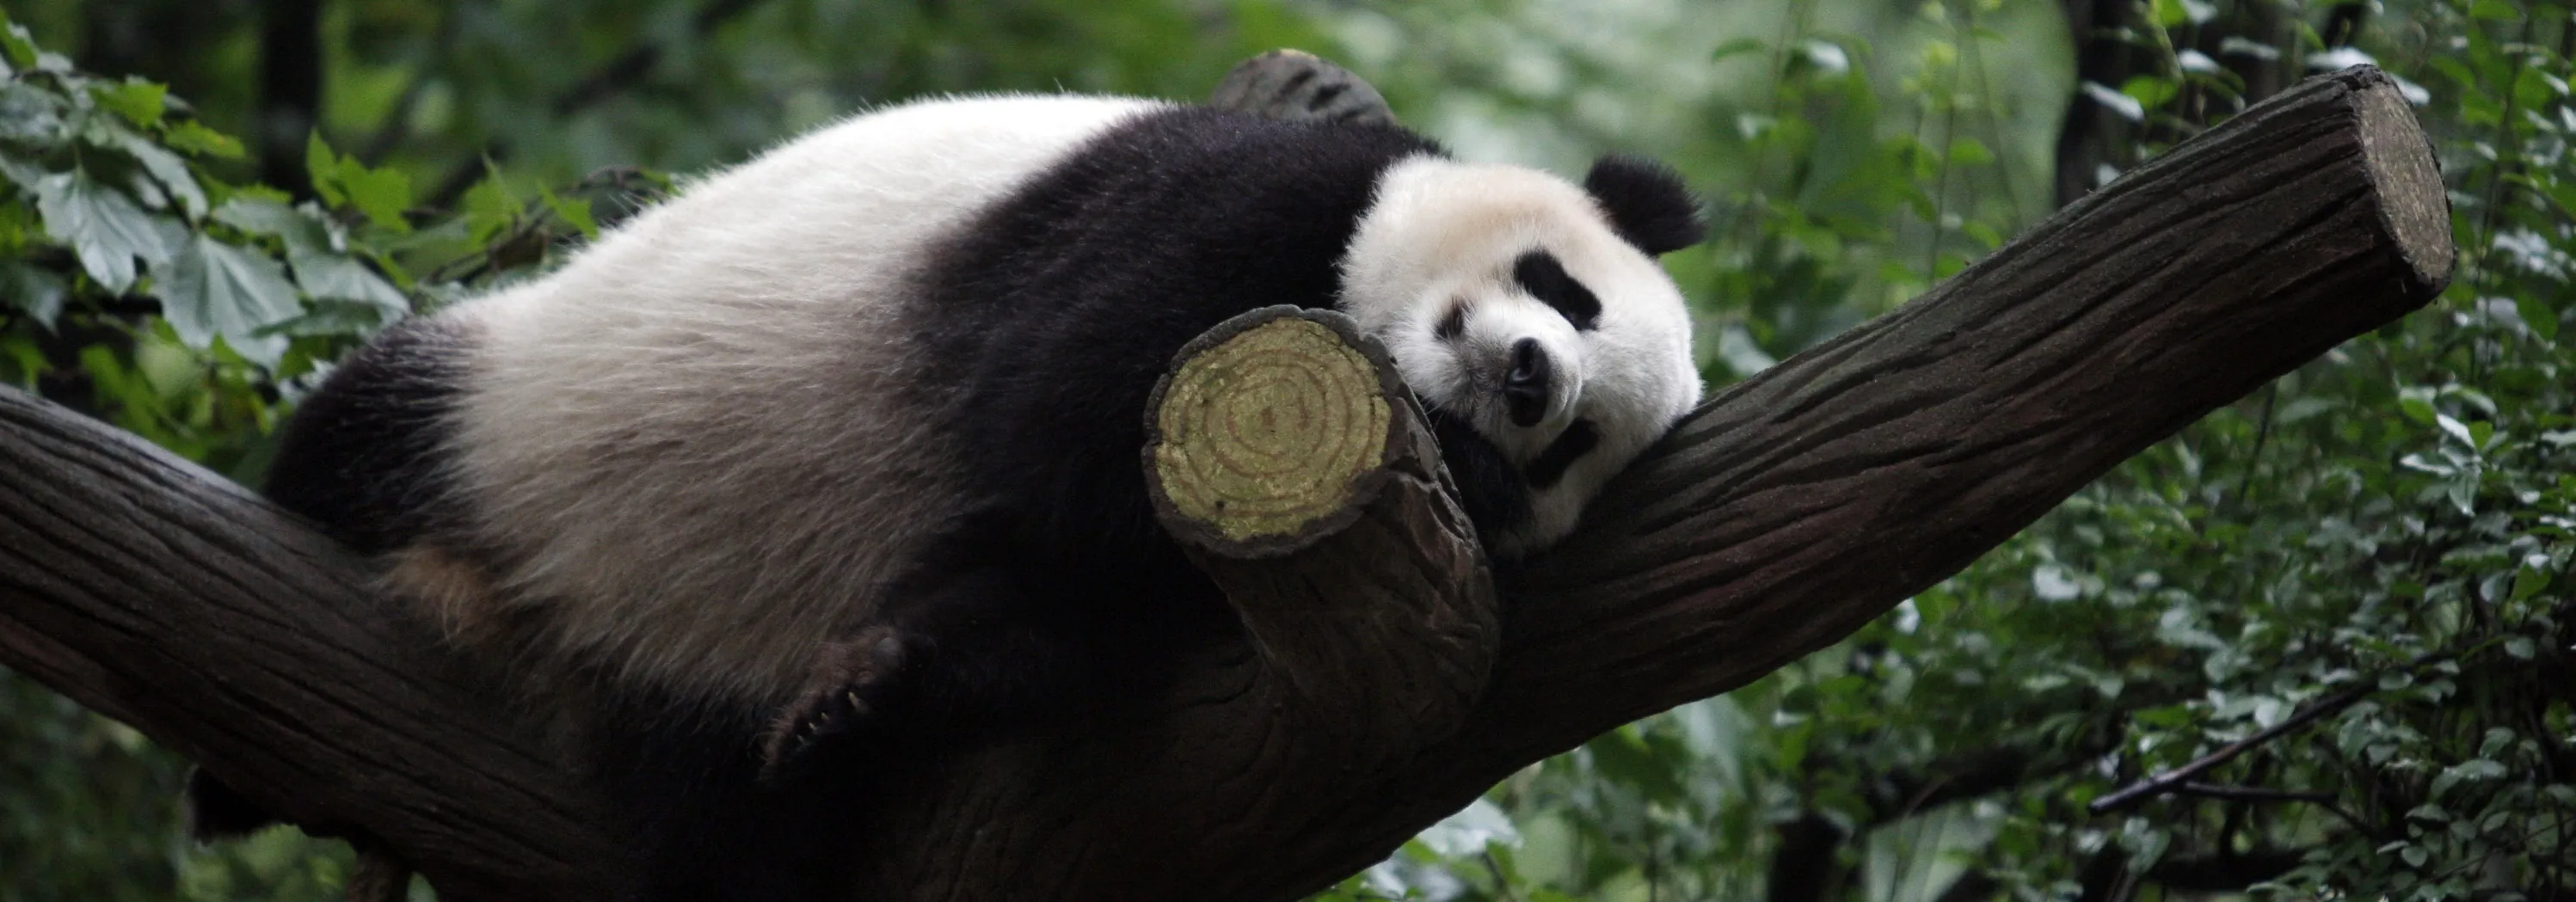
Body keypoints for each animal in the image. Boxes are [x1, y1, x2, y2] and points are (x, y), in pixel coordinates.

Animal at [194, 94, 1705, 900]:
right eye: (1562, 290)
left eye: (1570, 450)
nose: (1527, 378)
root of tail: (546, 625)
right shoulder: (1233, 211)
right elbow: (1055, 415)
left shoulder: (1180, 602)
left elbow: (1053, 599)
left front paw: (872, 683)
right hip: (506, 396)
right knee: (366, 427)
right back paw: (238, 772)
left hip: (693, 689)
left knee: (737, 835)